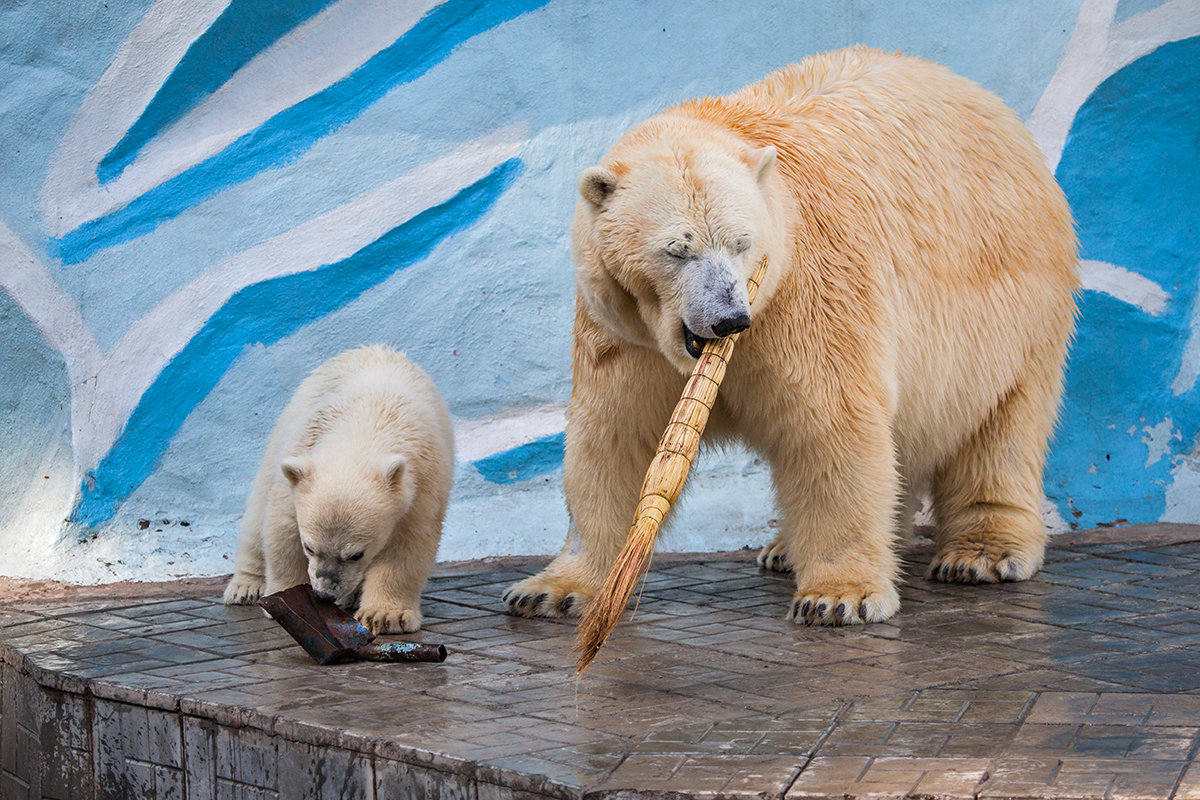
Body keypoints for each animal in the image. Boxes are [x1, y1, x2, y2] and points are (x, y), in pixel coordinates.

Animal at [506, 48, 1080, 623]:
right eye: (677, 249)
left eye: (741, 242)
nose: (729, 319)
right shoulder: (627, 336)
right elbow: (616, 440)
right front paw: (550, 590)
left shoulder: (806, 295)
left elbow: (830, 423)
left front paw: (837, 597)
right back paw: (786, 549)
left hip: (1012, 302)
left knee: (1001, 420)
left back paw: (981, 553)